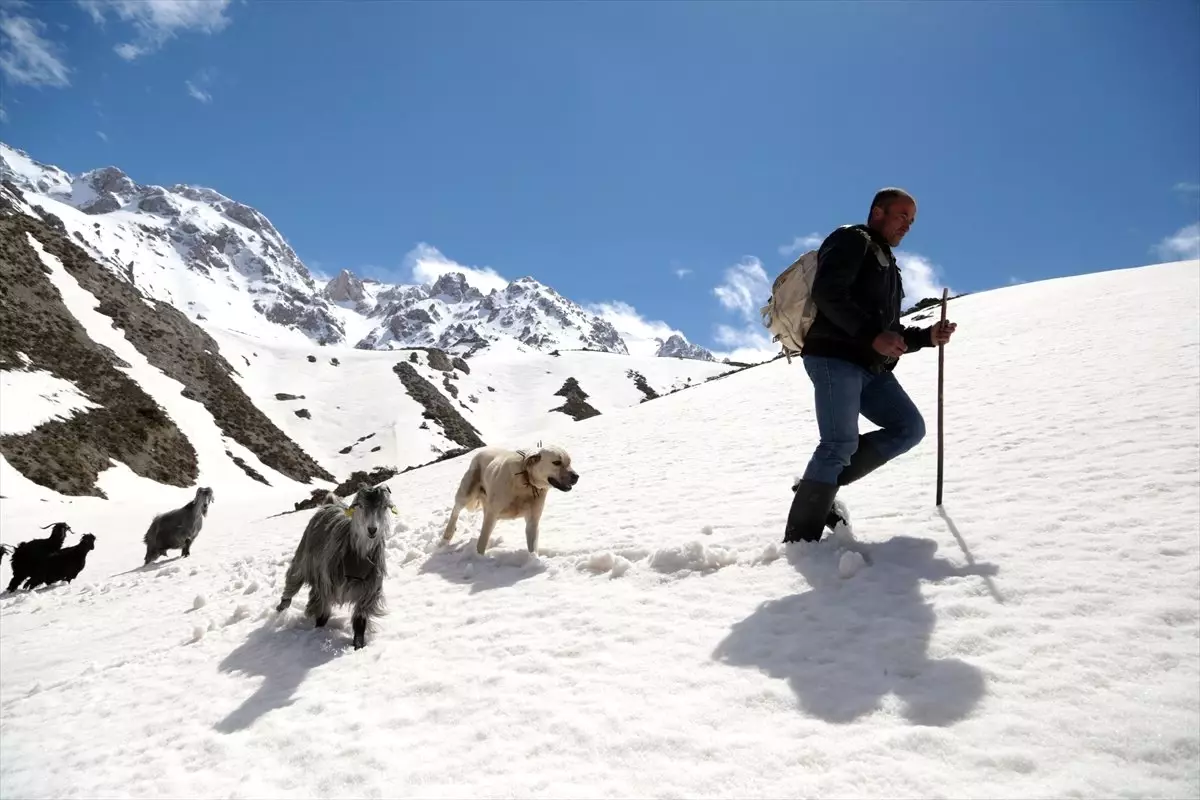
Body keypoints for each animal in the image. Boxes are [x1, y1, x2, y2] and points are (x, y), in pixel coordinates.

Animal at [274, 482, 393, 652]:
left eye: (385, 506)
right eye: (359, 505)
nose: (372, 530)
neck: (357, 560)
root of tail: (329, 503)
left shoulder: (369, 592)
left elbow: (360, 624)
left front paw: (358, 647)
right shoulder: (324, 586)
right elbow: (322, 616)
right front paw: (317, 633)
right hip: (302, 559)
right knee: (292, 581)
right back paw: (281, 607)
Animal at [446, 443, 580, 556]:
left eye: (569, 462)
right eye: (556, 462)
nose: (576, 476)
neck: (525, 481)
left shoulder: (533, 521)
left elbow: (532, 545)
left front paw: (533, 558)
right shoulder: (492, 515)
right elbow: (482, 542)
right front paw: (479, 558)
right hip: (466, 494)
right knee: (455, 510)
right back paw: (447, 534)